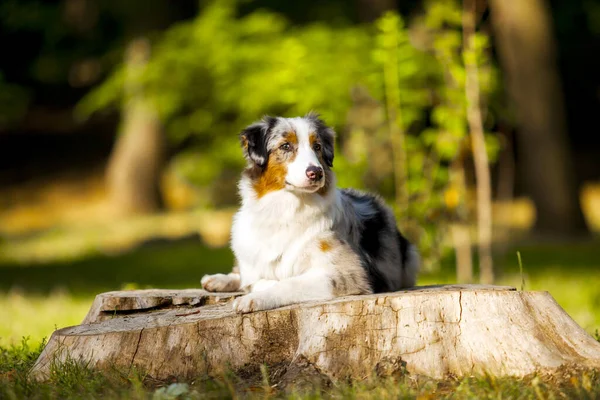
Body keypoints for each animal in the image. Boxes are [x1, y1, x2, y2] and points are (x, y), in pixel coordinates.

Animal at [200, 111, 418, 312]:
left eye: (317, 147)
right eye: (286, 146)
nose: (316, 173)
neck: (286, 208)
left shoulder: (349, 273)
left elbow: (286, 282)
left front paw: (253, 298)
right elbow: (257, 278)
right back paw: (218, 279)